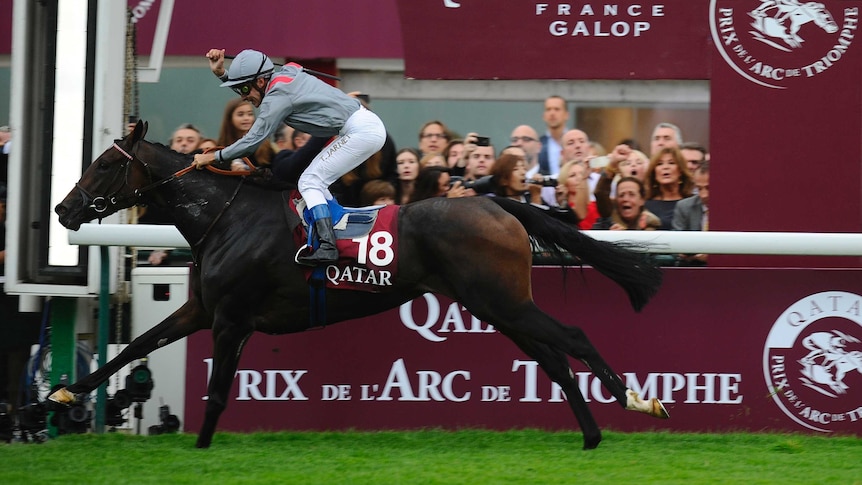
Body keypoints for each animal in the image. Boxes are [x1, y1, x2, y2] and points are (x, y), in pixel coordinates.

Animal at [49, 122, 668, 450]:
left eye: (104, 164)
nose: (63, 209)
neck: (225, 217)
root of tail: (497, 203)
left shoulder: (230, 318)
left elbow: (219, 390)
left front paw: (200, 449)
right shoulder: (203, 309)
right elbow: (135, 344)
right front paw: (65, 395)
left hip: (503, 301)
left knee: (574, 337)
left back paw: (639, 401)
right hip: (498, 306)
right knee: (555, 360)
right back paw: (591, 435)